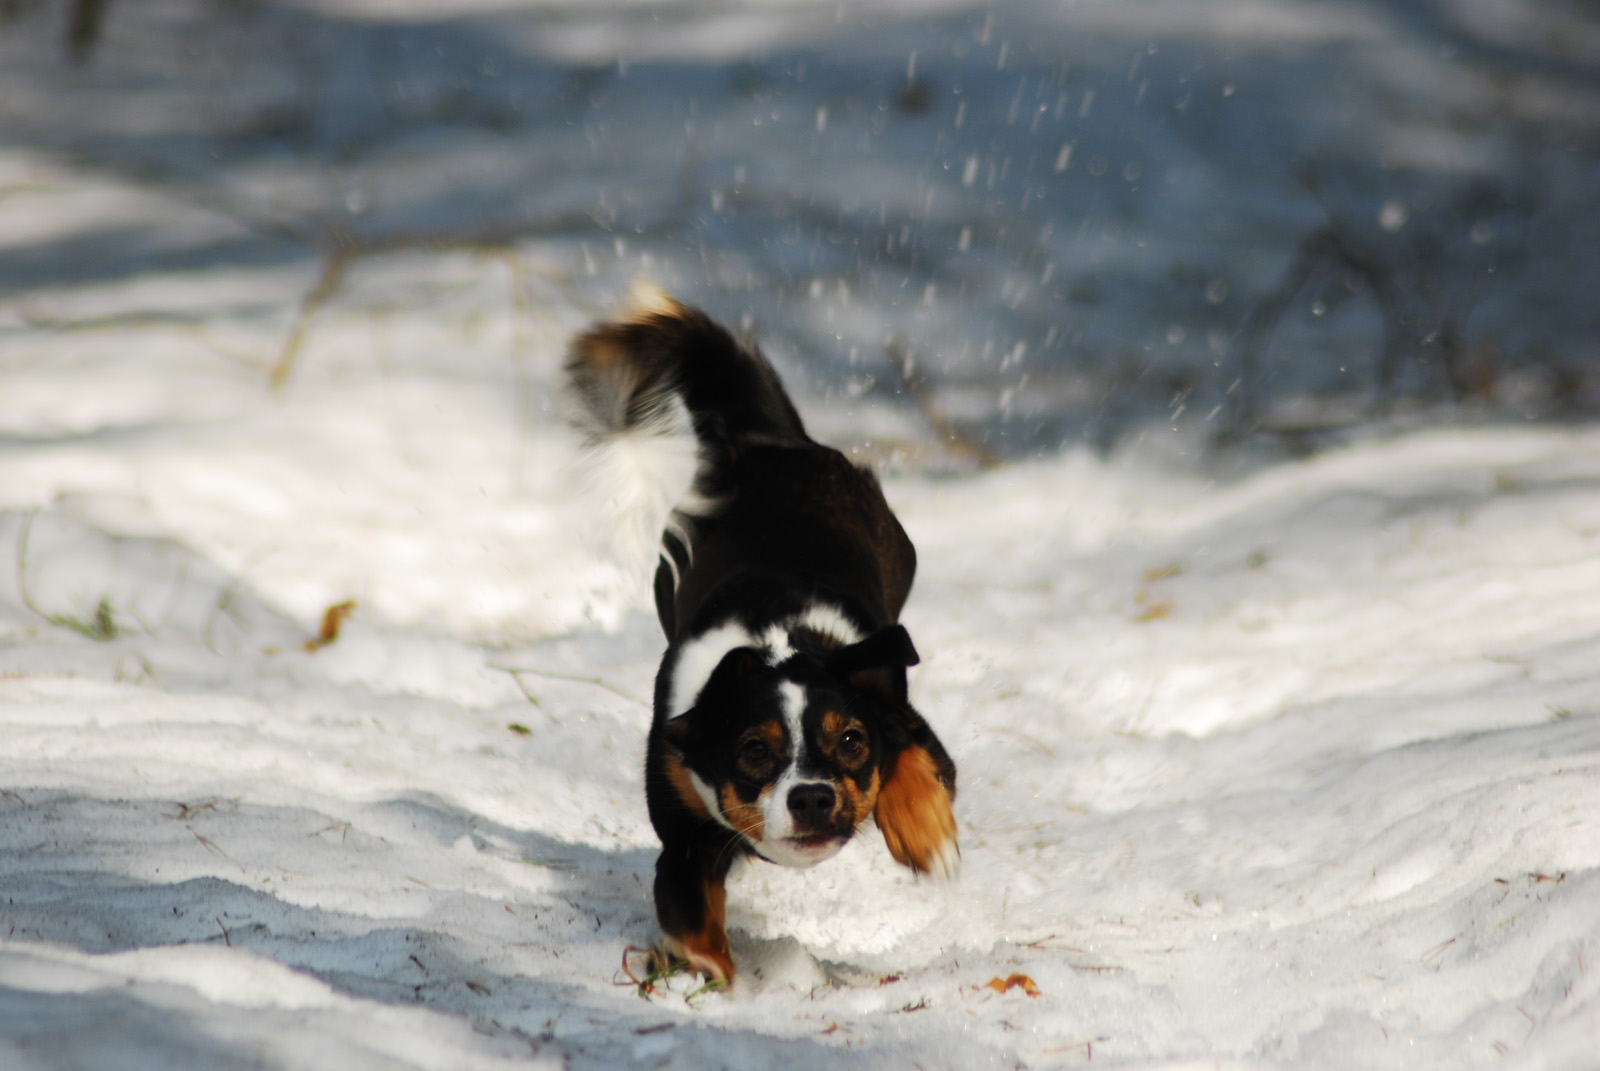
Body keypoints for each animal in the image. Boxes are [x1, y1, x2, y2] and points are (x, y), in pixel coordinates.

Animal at [569, 292, 953, 986]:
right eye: (753, 750)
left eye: (851, 741)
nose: (813, 798)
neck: (775, 641)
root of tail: (762, 441)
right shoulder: (683, 833)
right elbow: (691, 915)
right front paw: (711, 979)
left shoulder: (896, 703)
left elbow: (913, 759)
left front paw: (927, 835)